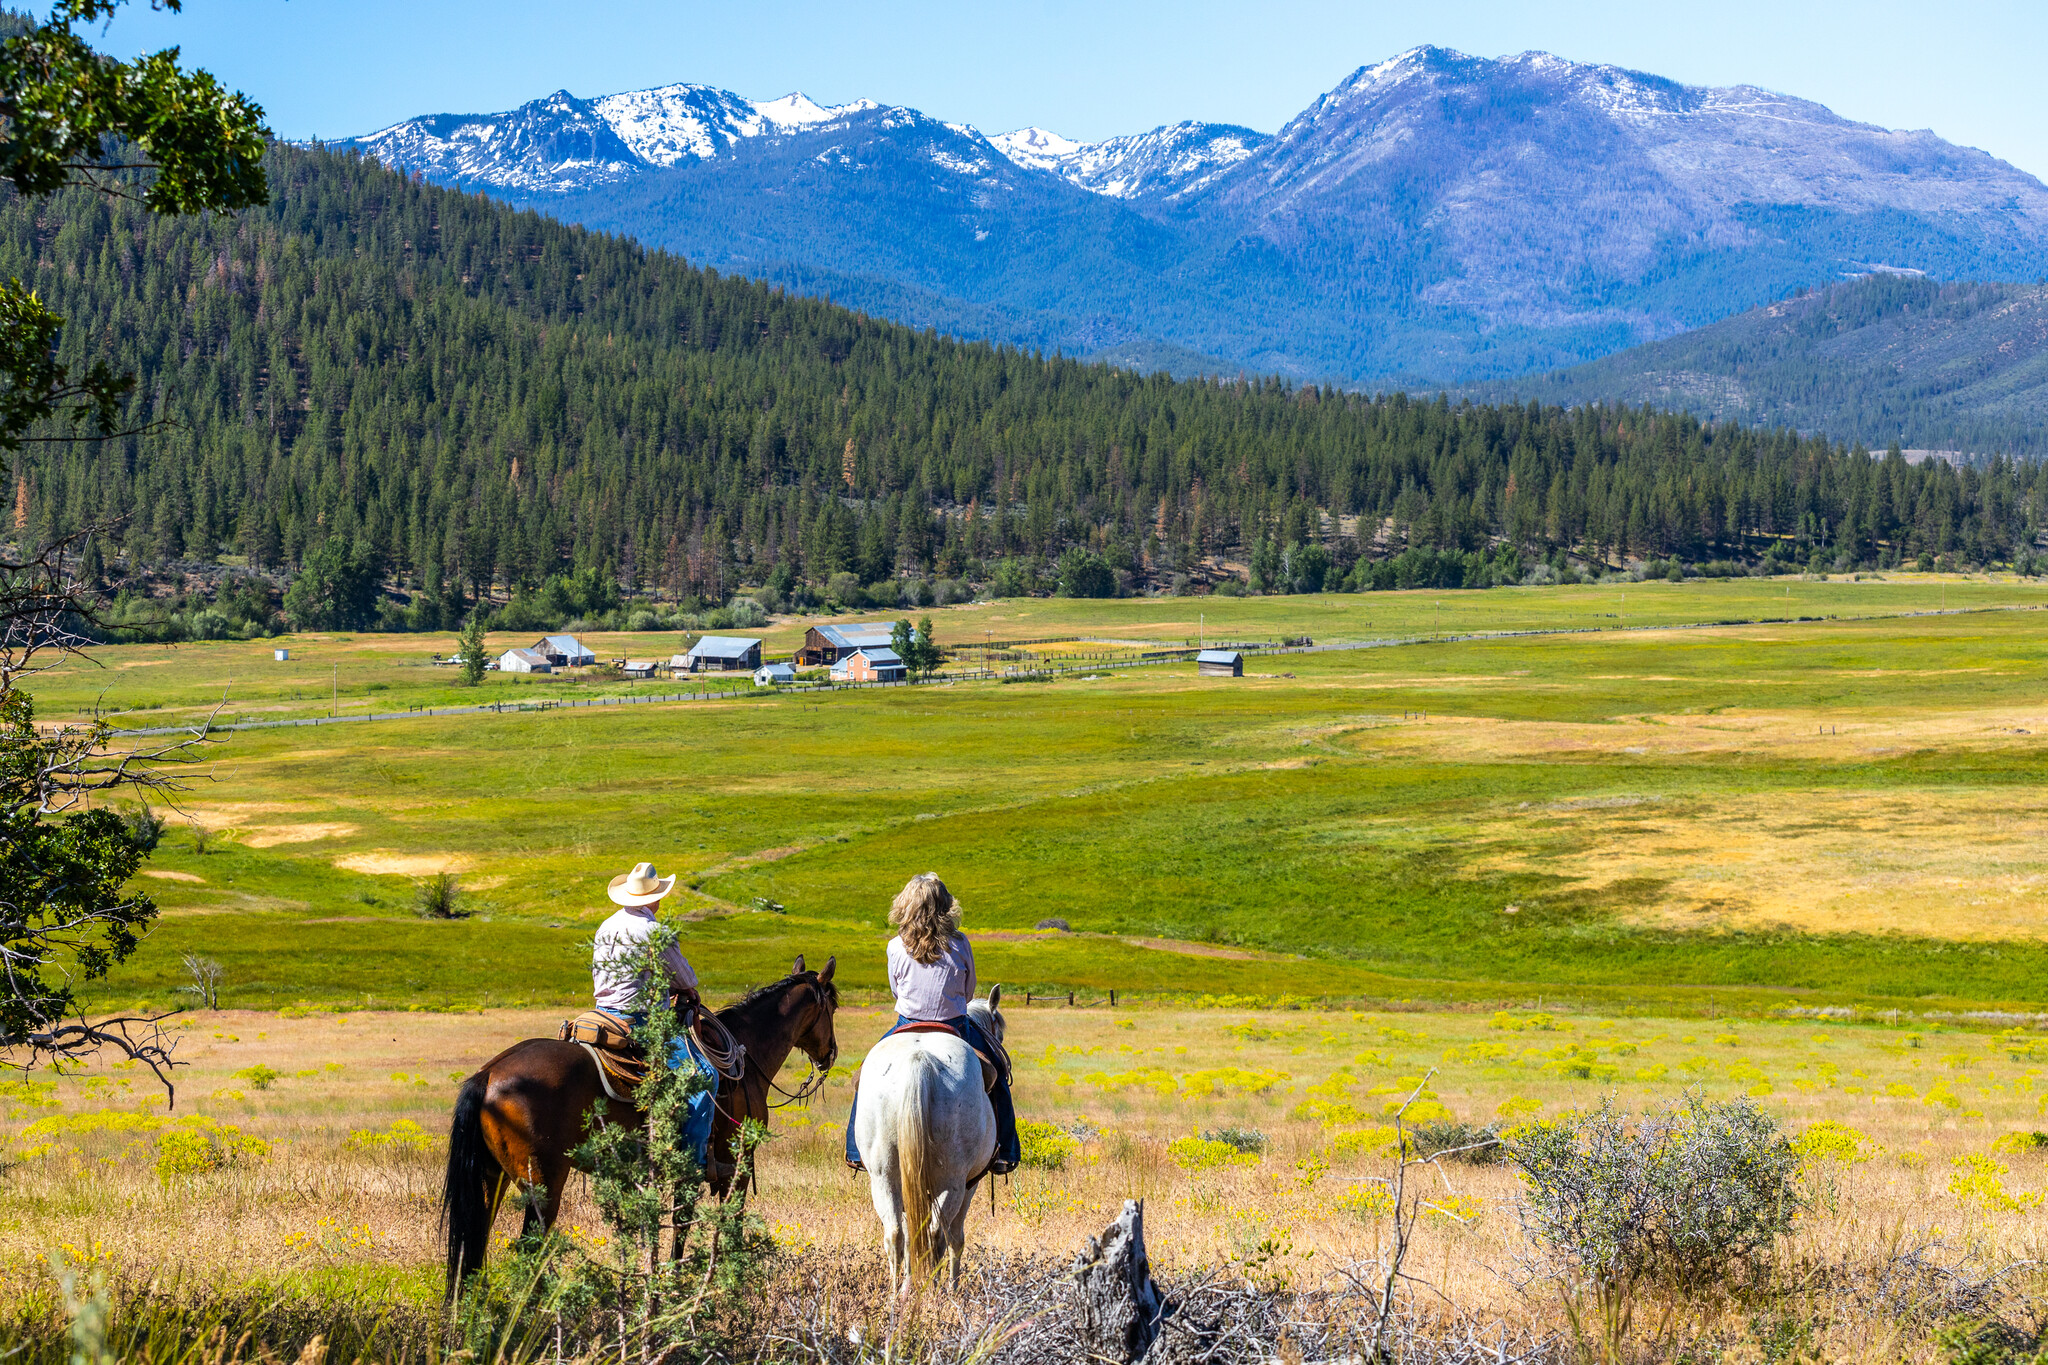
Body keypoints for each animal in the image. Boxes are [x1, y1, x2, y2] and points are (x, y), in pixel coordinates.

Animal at [442, 949, 839, 1293]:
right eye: (833, 1006)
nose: (830, 1054)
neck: (748, 1052)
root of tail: (488, 1074)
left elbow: (679, 1223)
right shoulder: (735, 1165)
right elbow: (726, 1223)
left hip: (491, 1177)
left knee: (474, 1244)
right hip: (544, 1181)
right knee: (528, 1245)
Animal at [851, 986, 1003, 1301]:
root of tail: (918, 1058)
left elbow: (911, 1233)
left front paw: (910, 1282)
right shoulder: (970, 1184)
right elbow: (956, 1237)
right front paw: (953, 1287)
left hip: (884, 1176)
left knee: (895, 1233)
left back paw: (897, 1296)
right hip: (952, 1181)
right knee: (937, 1233)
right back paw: (933, 1291)